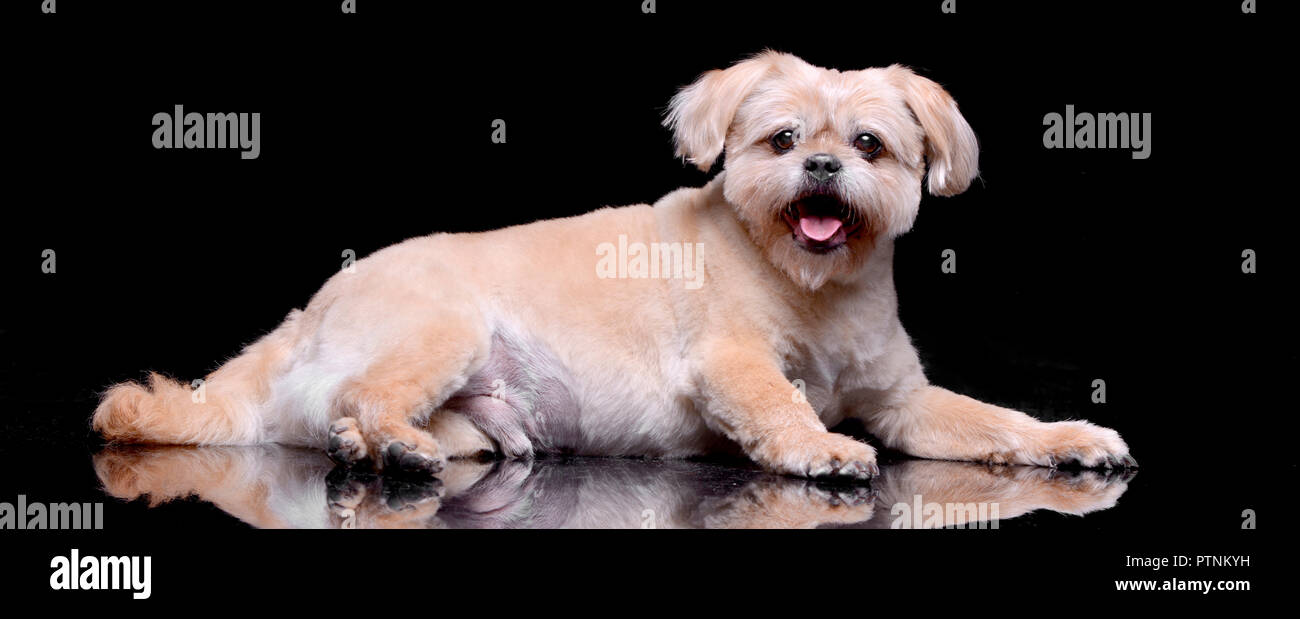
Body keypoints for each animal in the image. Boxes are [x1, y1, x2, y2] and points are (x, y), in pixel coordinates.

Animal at [91, 53, 1133, 478]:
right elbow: (780, 403)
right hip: (441, 327)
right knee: (358, 399)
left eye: (869, 145)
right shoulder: (730, 365)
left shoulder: (906, 402)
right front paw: (822, 448)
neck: (815, 289)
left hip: (480, 418)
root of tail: (308, 311)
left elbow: (997, 423)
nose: (823, 167)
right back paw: (389, 445)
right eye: (783, 139)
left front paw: (1065, 437)